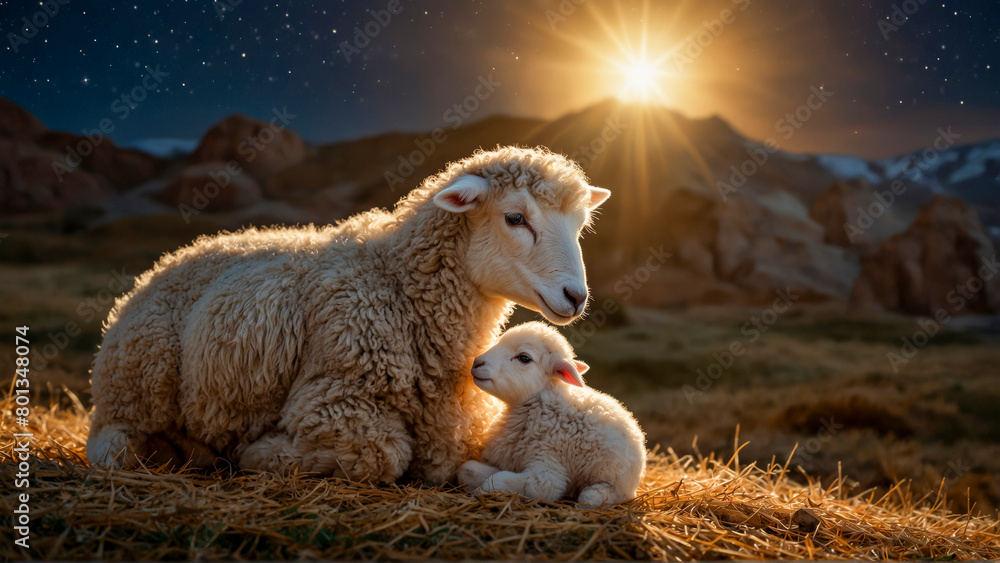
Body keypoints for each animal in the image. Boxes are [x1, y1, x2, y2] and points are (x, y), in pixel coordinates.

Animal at [86, 146, 612, 484]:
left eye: (580, 225)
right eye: (515, 218)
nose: (576, 297)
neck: (397, 284)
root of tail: (165, 262)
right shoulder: (329, 399)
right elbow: (385, 454)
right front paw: (260, 453)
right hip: (138, 381)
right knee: (110, 441)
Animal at [457, 321, 646, 506]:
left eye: (524, 358)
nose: (476, 362)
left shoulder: (548, 468)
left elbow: (500, 480)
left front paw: (481, 493)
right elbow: (467, 469)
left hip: (615, 483)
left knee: (593, 497)